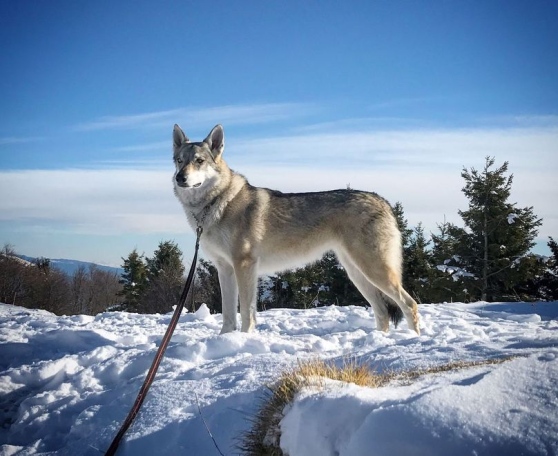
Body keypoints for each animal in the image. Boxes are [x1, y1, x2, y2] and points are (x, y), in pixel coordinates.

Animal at [173, 124, 422, 334]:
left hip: (373, 271)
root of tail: (383, 201)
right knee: (383, 313)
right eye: (178, 160)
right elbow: (227, 316)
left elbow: (246, 313)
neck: (214, 204)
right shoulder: (224, 269)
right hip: (357, 273)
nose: (179, 178)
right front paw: (226, 340)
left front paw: (243, 340)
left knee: (410, 305)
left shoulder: (245, 266)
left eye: (199, 161)